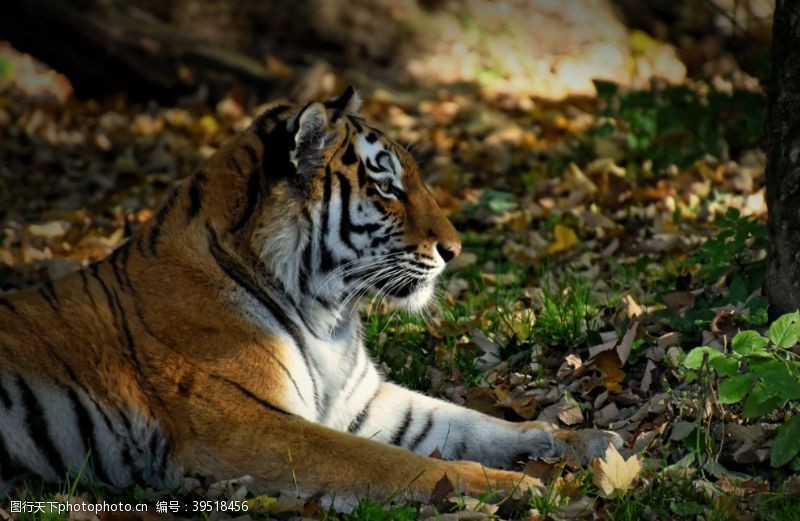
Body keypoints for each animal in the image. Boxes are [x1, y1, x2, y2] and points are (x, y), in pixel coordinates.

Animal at [0, 86, 620, 508]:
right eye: (387, 187)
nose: (456, 248)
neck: (328, 317)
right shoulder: (247, 427)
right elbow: (394, 463)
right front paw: (514, 487)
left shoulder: (363, 400)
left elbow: (468, 424)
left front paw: (584, 441)